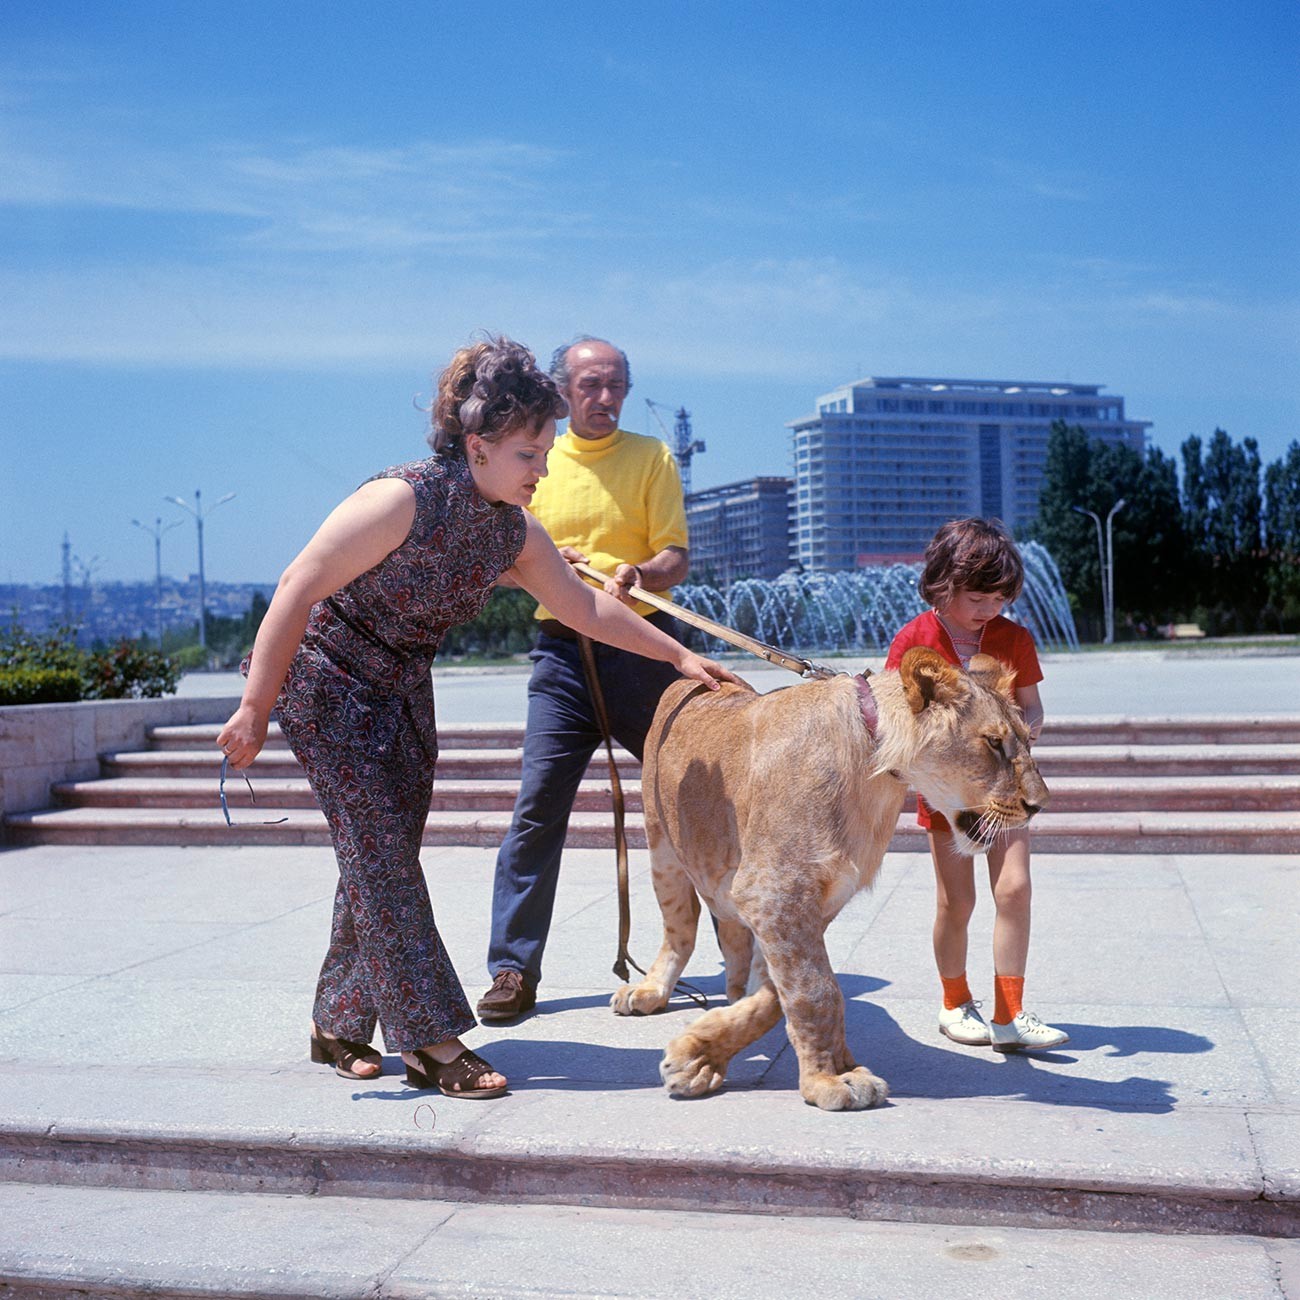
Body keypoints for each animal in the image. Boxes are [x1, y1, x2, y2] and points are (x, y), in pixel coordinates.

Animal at [613, 644, 1050, 1112]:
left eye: (1029, 738)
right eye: (993, 742)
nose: (1040, 805)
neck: (875, 772)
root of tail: (687, 681)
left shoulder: (811, 900)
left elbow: (787, 995)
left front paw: (704, 1051)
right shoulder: (774, 891)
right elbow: (816, 992)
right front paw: (829, 1080)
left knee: (730, 937)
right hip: (662, 845)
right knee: (680, 929)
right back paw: (649, 990)